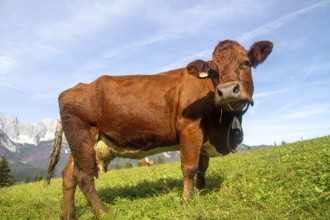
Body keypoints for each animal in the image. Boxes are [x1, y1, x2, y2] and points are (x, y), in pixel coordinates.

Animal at [47, 39, 274, 218]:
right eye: (213, 71)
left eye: (246, 62)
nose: (227, 91)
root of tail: (73, 89)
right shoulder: (190, 129)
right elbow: (189, 167)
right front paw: (187, 200)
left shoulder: (203, 137)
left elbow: (203, 166)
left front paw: (202, 190)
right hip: (83, 136)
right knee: (84, 177)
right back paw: (103, 212)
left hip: (81, 144)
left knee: (69, 175)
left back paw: (67, 215)